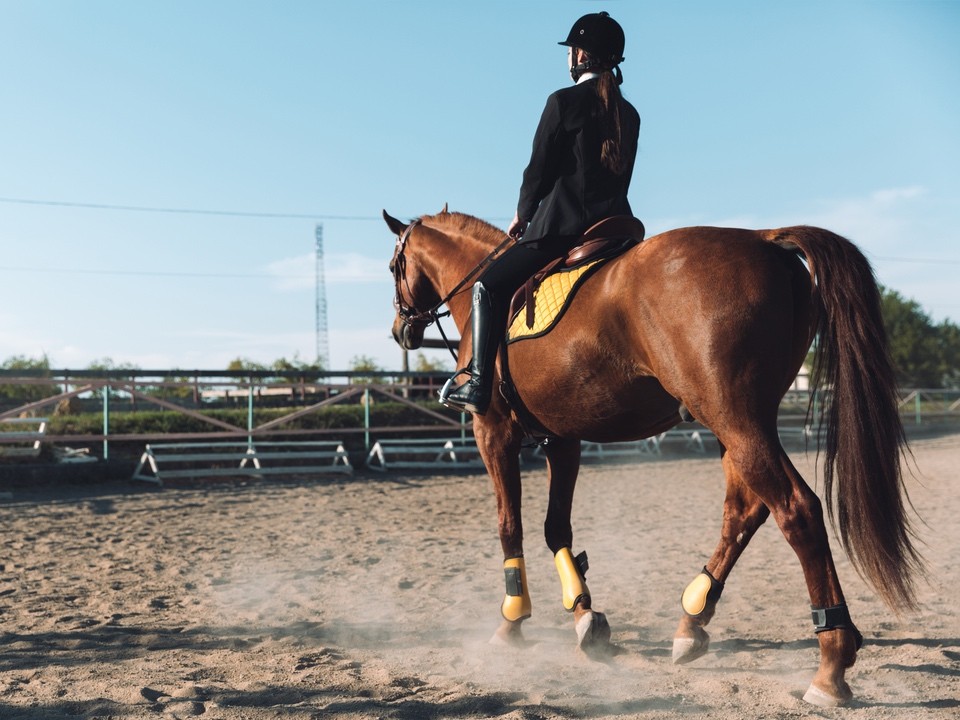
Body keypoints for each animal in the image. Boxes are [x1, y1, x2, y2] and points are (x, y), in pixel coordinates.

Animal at [378, 205, 920, 704]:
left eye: (393, 266)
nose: (400, 330)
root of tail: (764, 238)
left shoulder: (492, 432)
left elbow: (509, 526)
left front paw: (512, 622)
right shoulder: (563, 440)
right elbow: (557, 528)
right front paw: (584, 616)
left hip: (732, 416)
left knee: (796, 510)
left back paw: (830, 665)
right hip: (738, 421)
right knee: (744, 511)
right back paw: (692, 622)